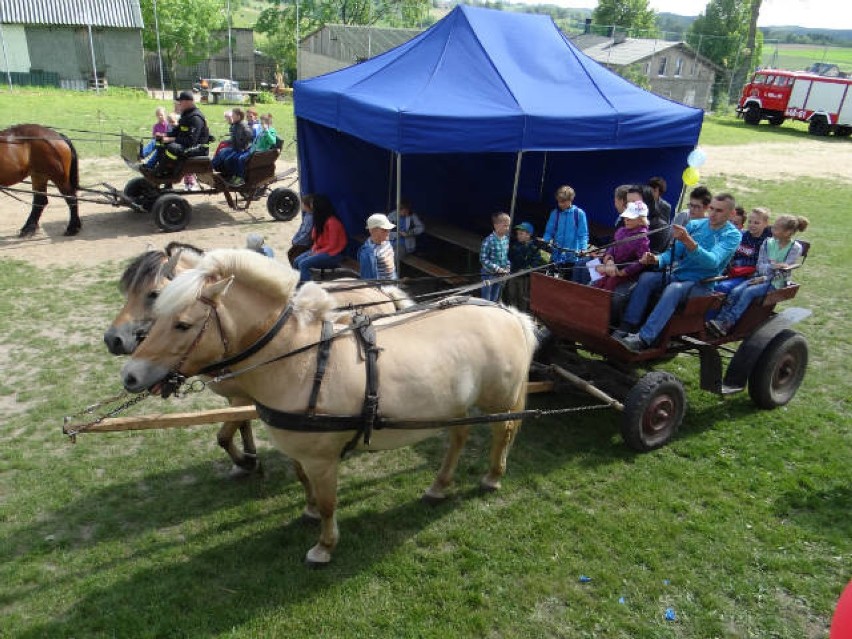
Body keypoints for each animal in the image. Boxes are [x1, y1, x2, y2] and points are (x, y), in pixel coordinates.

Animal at [120, 250, 536, 564]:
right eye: (158, 311)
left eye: (183, 324)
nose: (130, 375)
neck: (299, 359)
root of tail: (509, 313)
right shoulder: (300, 451)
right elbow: (302, 481)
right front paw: (305, 511)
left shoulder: (323, 459)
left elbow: (328, 502)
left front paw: (324, 546)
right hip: (455, 405)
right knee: (459, 438)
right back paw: (438, 486)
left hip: (500, 400)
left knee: (504, 433)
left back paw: (492, 477)